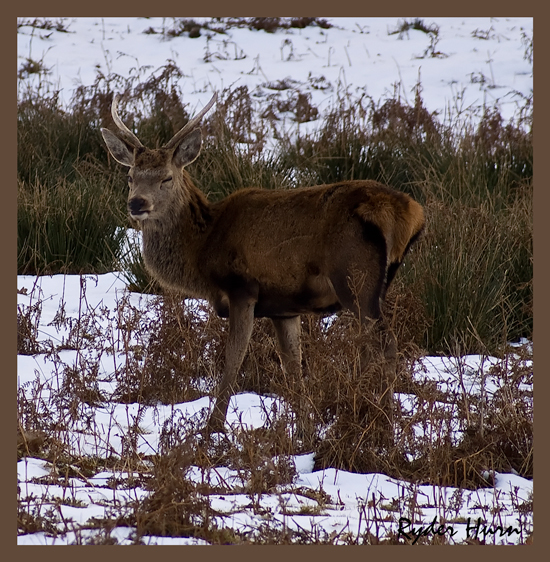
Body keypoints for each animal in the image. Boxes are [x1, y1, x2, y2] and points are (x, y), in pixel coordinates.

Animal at [100, 92, 426, 436]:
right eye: (130, 177)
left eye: (167, 177)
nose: (137, 203)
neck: (203, 249)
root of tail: (407, 212)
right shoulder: (284, 308)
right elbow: (292, 365)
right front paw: (304, 430)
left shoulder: (242, 288)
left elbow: (233, 358)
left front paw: (213, 427)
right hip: (375, 284)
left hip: (355, 279)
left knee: (386, 346)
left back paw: (381, 426)